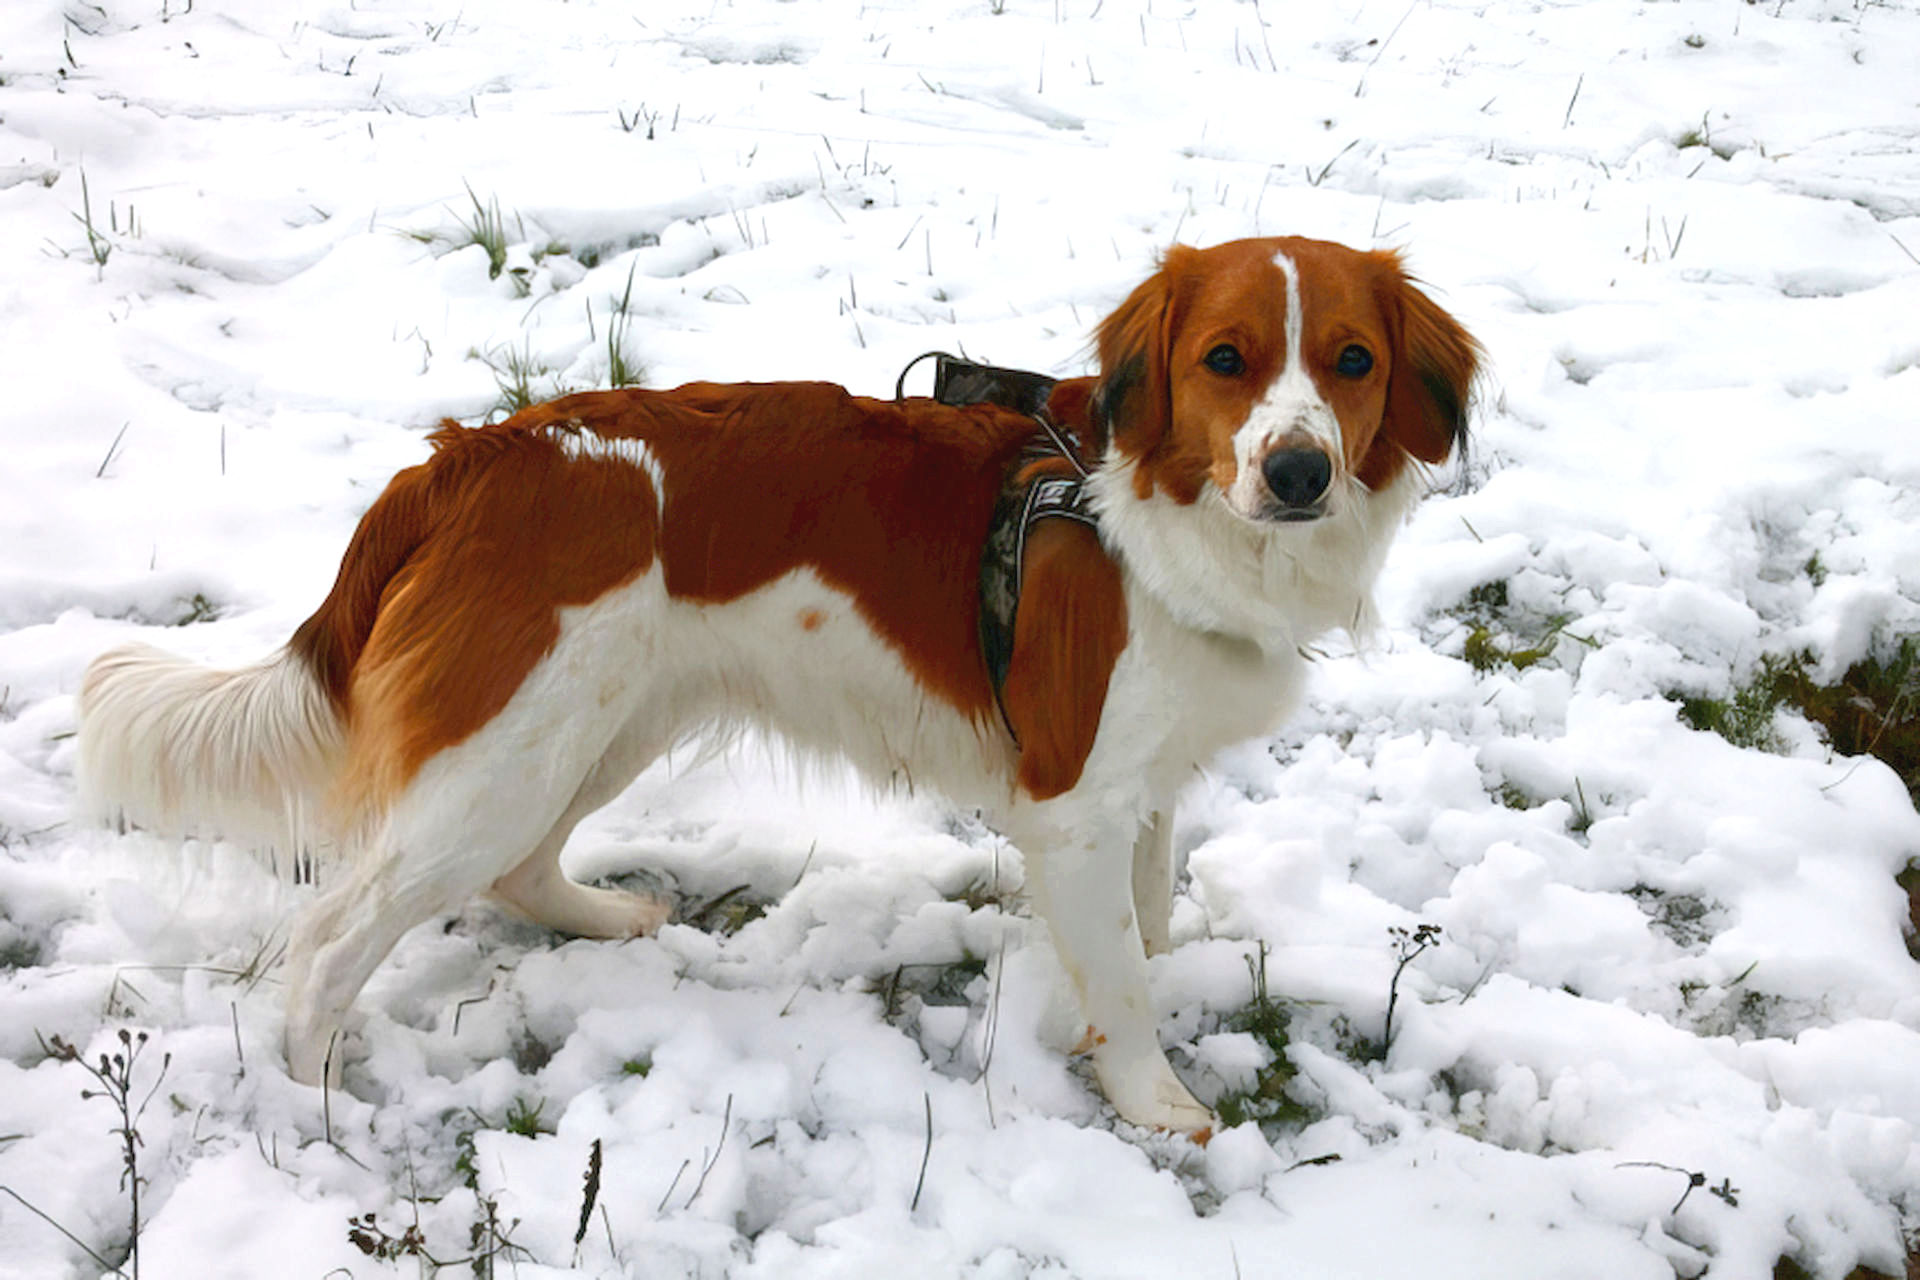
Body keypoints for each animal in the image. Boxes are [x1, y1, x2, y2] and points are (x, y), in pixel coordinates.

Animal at [78, 235, 1482, 1136]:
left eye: (1352, 361)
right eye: (1227, 360)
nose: (1298, 472)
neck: (1153, 511)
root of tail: (476, 455)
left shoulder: (1146, 779)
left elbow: (1150, 916)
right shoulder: (1075, 800)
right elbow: (1124, 980)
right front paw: (1161, 1101)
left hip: (593, 721)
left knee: (520, 869)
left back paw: (605, 917)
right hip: (505, 750)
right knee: (330, 936)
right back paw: (317, 1101)